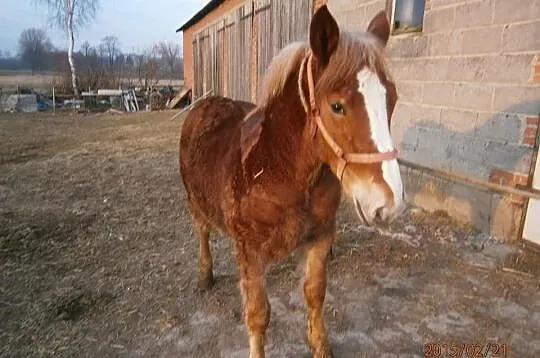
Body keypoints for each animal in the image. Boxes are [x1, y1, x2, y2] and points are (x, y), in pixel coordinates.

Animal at [179, 5, 402, 358]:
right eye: (336, 106)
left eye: (391, 99)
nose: (389, 205)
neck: (281, 172)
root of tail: (204, 103)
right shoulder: (251, 253)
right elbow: (258, 315)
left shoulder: (321, 237)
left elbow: (315, 293)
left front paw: (320, 346)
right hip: (194, 202)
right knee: (202, 232)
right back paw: (205, 276)